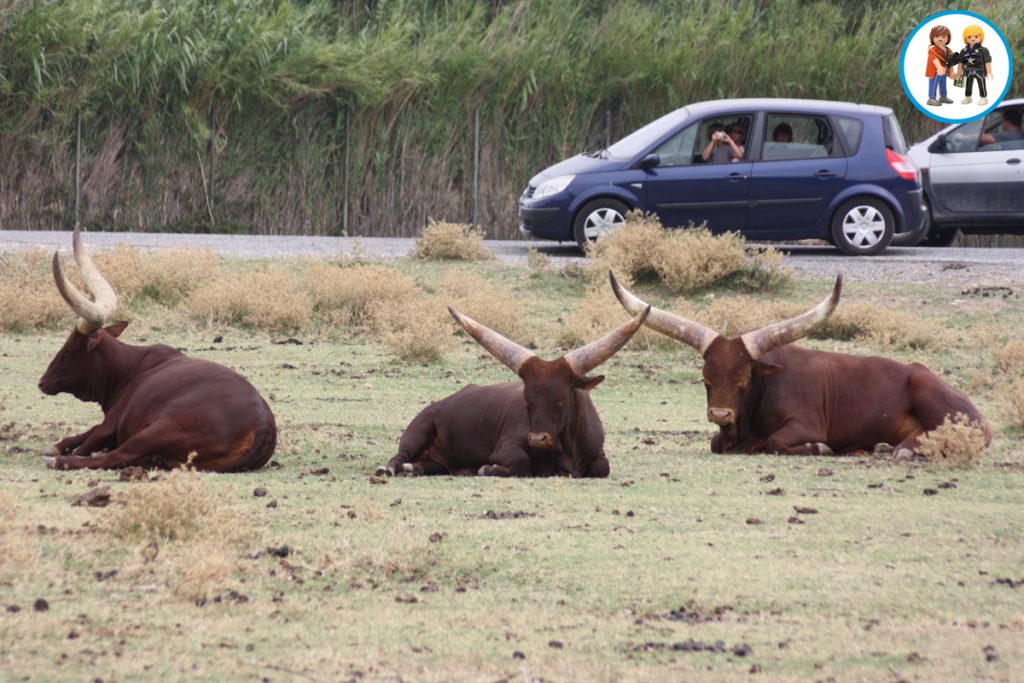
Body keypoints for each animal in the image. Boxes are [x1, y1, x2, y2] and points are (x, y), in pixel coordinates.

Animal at [38, 227, 278, 473]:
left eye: (68, 350)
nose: (42, 382)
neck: (127, 369)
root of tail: (263, 427)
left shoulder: (111, 424)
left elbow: (90, 439)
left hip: (159, 430)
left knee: (118, 455)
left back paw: (61, 461)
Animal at [374, 305, 647, 475]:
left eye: (560, 401)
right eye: (527, 402)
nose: (537, 438)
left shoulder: (597, 452)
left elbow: (603, 468)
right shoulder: (507, 446)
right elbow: (521, 461)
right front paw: (488, 469)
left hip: (437, 460)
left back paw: (414, 469)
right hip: (417, 429)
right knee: (400, 455)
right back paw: (389, 469)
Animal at [610, 270, 987, 456]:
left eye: (744, 380)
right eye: (706, 379)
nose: (720, 414)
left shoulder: (805, 424)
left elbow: (777, 443)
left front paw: (819, 448)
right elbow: (716, 443)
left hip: (928, 393)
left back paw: (897, 450)